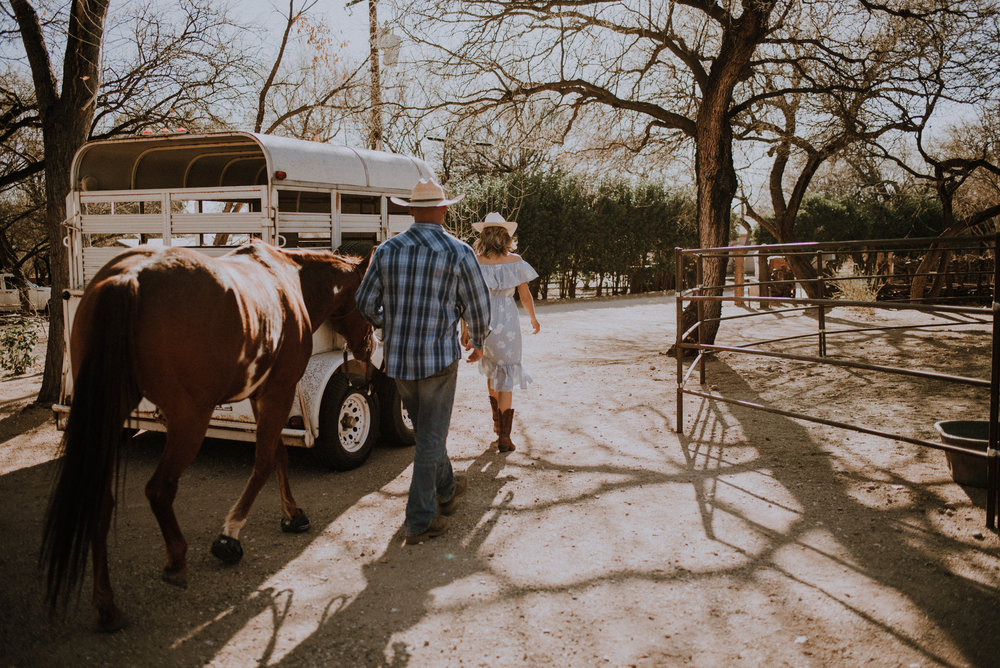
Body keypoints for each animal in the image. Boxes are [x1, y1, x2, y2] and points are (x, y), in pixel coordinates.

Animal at [39, 240, 376, 632]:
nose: (368, 349)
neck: (290, 279)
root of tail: (129, 279)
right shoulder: (277, 392)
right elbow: (264, 461)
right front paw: (230, 535)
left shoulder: (261, 395)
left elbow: (278, 453)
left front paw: (292, 514)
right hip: (190, 420)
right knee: (159, 489)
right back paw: (175, 560)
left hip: (110, 419)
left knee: (101, 501)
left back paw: (107, 606)